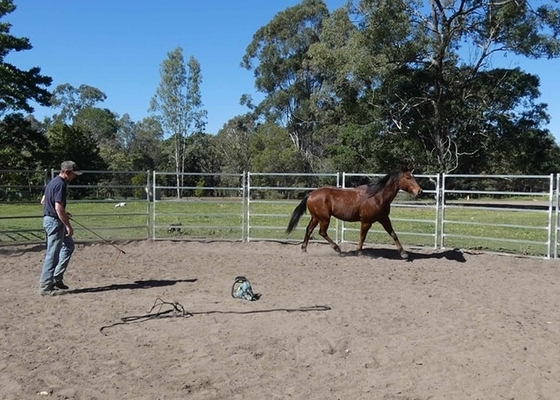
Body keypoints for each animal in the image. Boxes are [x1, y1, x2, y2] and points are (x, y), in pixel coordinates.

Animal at [286, 167, 422, 258]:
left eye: (414, 177)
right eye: (408, 177)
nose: (419, 191)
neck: (376, 197)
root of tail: (311, 194)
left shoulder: (384, 218)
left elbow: (393, 234)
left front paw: (403, 253)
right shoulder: (366, 222)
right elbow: (362, 236)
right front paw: (359, 252)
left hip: (316, 217)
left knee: (309, 230)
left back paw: (304, 249)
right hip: (324, 219)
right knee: (322, 232)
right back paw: (337, 249)